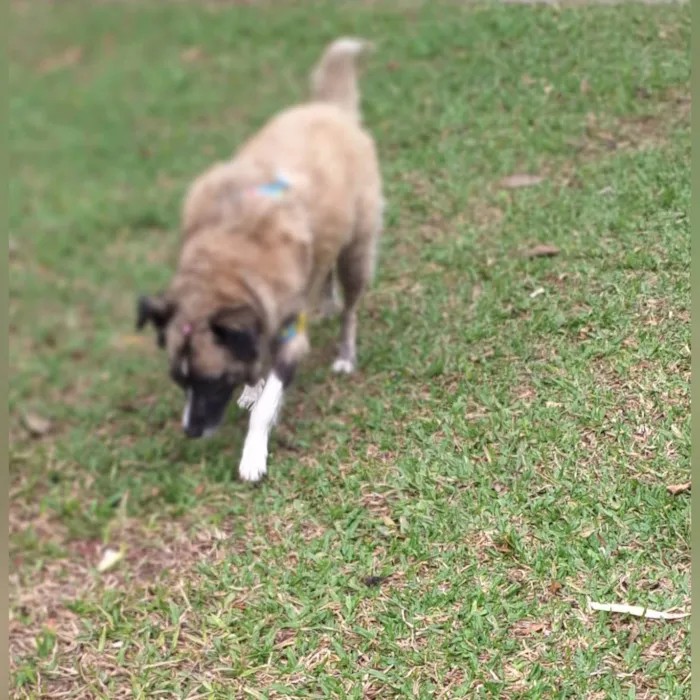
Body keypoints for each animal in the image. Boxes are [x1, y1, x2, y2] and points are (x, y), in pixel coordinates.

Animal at [135, 37, 382, 482]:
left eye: (213, 380)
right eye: (179, 380)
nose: (190, 431)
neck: (230, 265)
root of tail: (328, 109)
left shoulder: (288, 337)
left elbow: (266, 407)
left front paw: (253, 453)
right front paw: (253, 387)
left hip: (357, 251)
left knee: (350, 308)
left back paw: (344, 353)